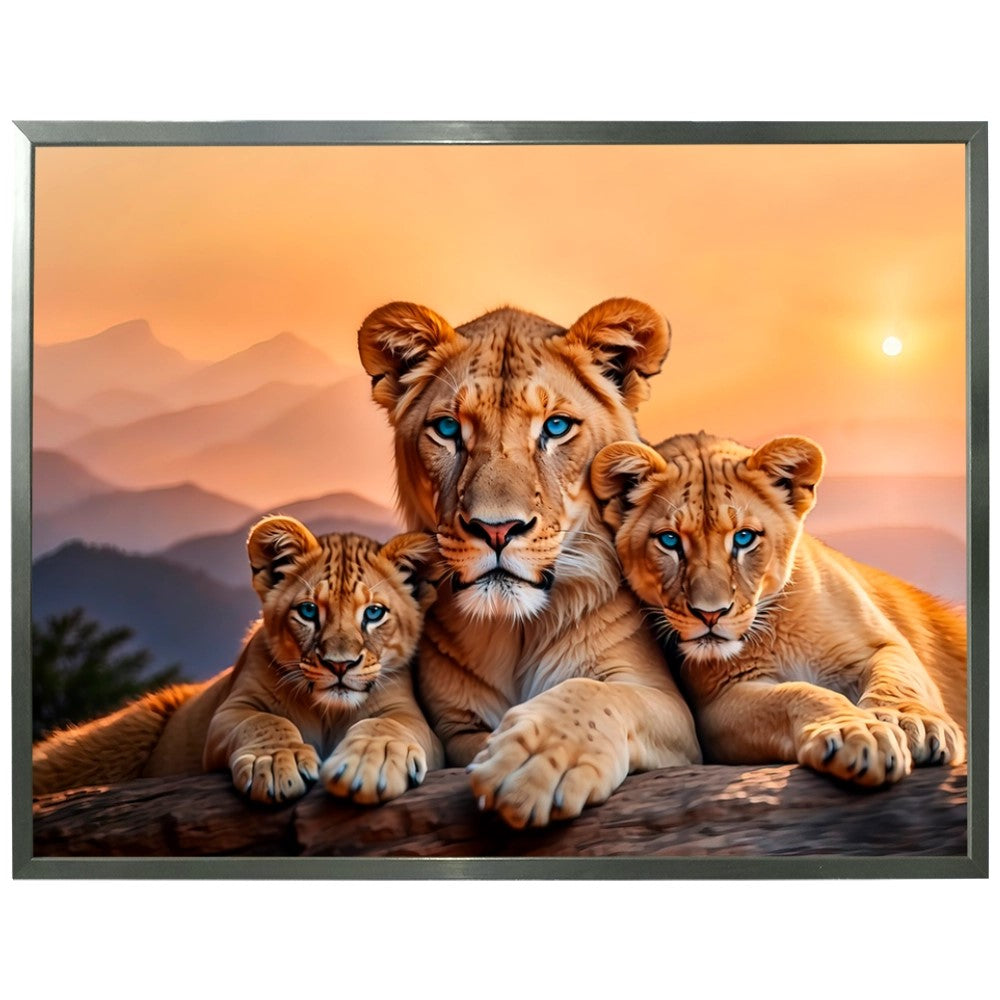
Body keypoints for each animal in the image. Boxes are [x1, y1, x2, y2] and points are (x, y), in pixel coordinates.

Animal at [33, 518, 443, 804]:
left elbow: (385, 726)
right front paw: (277, 763)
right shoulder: (229, 712)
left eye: (373, 613)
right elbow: (265, 721)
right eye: (309, 611)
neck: (328, 712)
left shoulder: (412, 717)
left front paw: (369, 764)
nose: (339, 665)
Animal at [357, 298, 701, 828]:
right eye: (448, 429)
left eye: (556, 427)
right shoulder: (455, 723)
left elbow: (600, 692)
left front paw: (538, 759)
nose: (496, 529)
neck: (516, 630)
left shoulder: (672, 711)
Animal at [591, 431, 967, 786]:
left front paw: (913, 722)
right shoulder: (716, 704)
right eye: (670, 540)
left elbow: (898, 678)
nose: (710, 614)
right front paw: (855, 732)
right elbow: (797, 694)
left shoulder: (882, 644)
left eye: (744, 538)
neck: (775, 628)